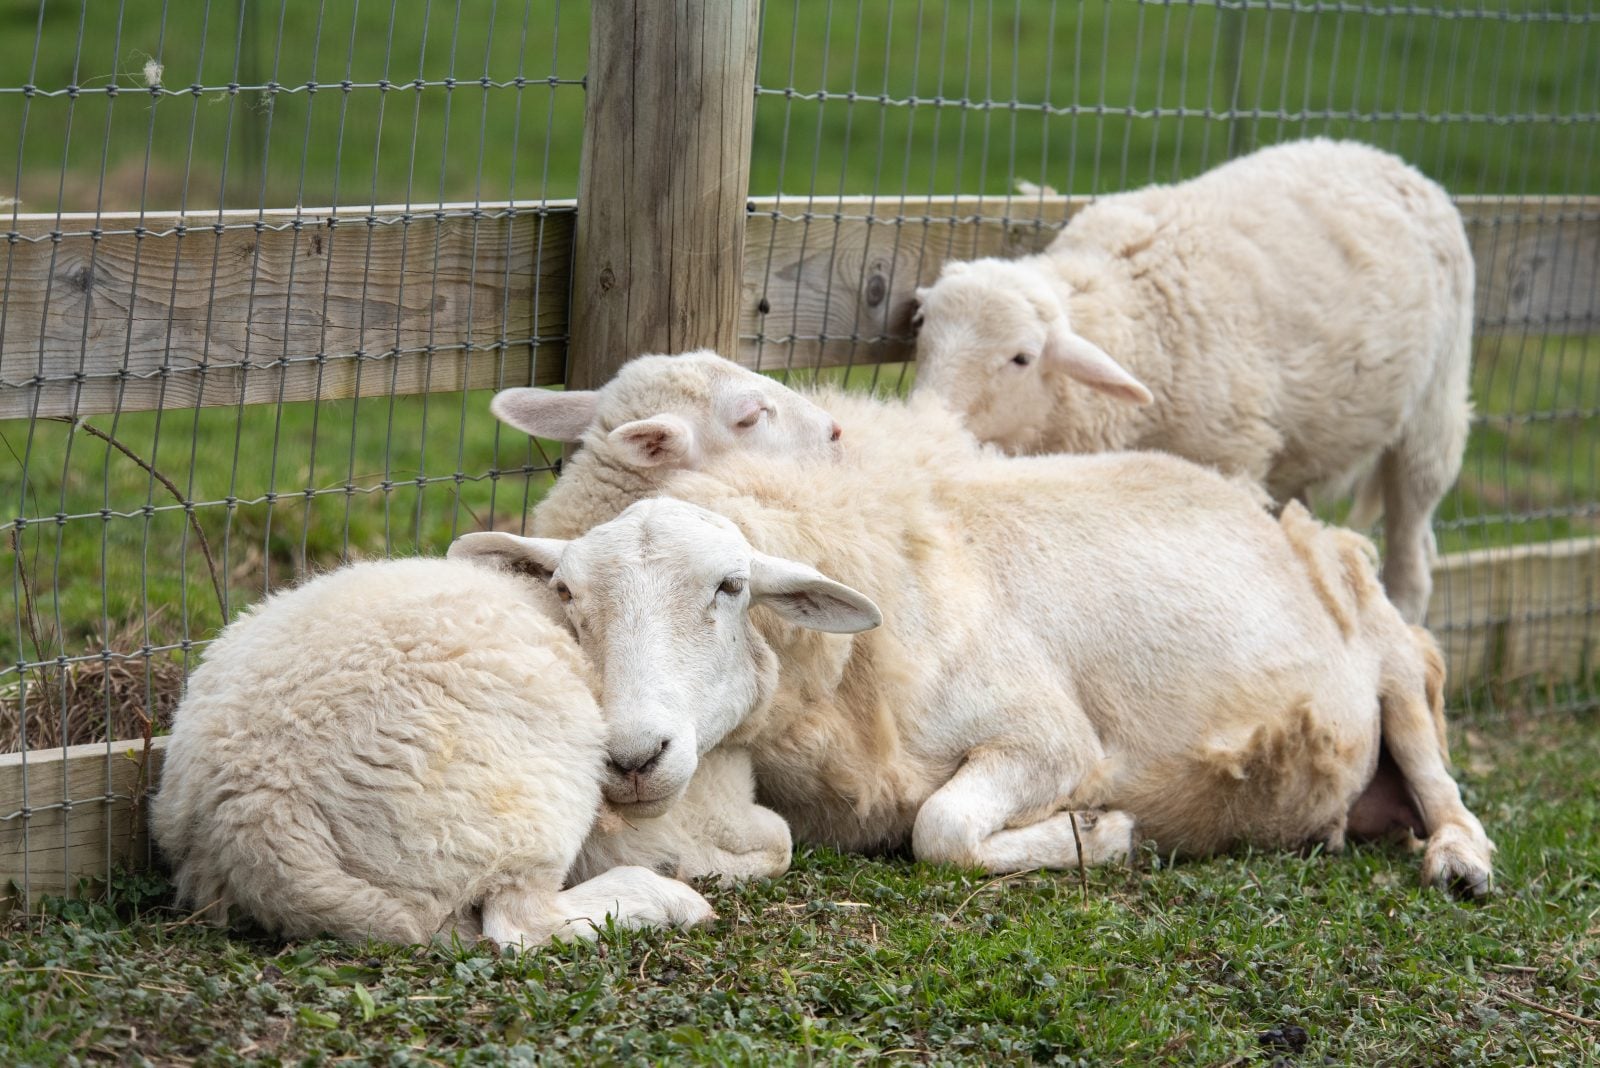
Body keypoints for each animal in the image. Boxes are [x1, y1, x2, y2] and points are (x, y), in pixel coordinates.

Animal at [151, 553, 793, 949]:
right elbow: (777, 842)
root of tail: (253, 820)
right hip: (523, 794)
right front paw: (698, 869)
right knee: (522, 924)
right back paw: (671, 901)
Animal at [499, 390, 1493, 895]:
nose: (633, 757)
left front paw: (1101, 833)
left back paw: (1461, 861)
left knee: (1442, 782)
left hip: (1395, 658)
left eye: (729, 587)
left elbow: (939, 830)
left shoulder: (1049, 737)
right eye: (569, 598)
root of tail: (1264, 505)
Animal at [910, 138, 1475, 624]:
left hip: (1435, 412)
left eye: (1021, 358)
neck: (1137, 315)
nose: (923, 427)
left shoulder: (1230, 460)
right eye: (921, 332)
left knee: (1412, 556)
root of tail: (1387, 158)